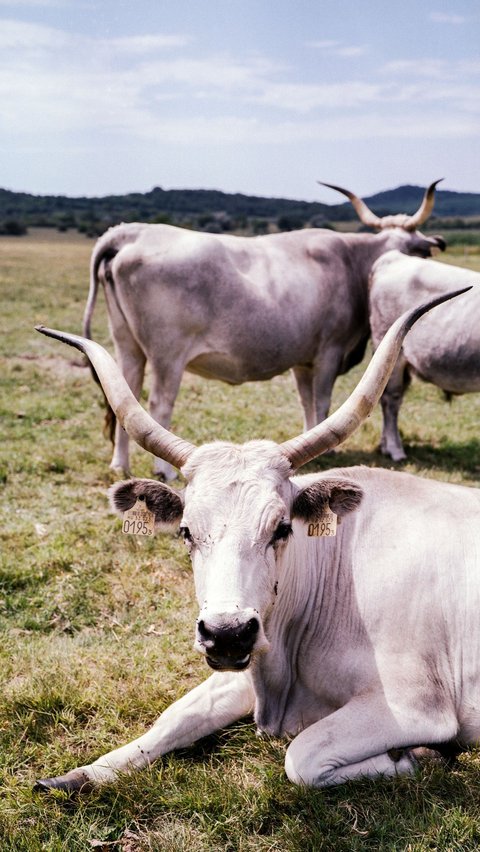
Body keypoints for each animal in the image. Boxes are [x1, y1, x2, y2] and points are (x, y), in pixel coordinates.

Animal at [32, 290, 476, 796]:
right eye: (186, 532)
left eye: (281, 528)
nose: (227, 633)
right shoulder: (247, 660)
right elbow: (175, 717)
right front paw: (78, 775)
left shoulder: (415, 704)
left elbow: (302, 755)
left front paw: (415, 756)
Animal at [83, 180, 446, 480]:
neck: (351, 262)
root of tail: (133, 232)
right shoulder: (329, 351)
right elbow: (322, 402)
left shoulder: (303, 360)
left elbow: (307, 402)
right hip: (167, 355)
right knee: (158, 404)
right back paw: (164, 471)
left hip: (127, 345)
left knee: (125, 397)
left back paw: (120, 465)